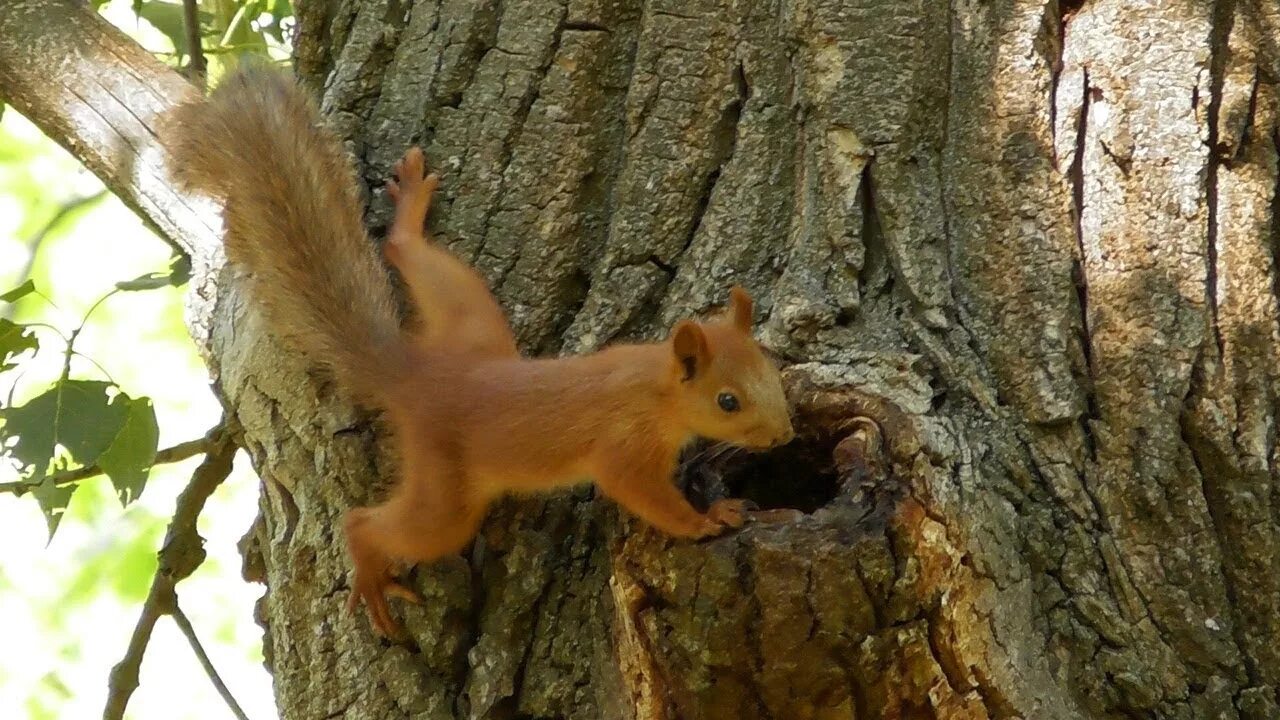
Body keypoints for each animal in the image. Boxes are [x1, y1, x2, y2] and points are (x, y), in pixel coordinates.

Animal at [165, 65, 793, 632]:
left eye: (773, 370)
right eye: (728, 402)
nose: (784, 436)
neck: (653, 383)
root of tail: (417, 376)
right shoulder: (625, 449)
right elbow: (644, 496)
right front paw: (706, 520)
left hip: (473, 321)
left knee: (405, 253)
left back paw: (409, 215)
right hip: (445, 495)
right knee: (373, 523)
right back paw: (369, 570)